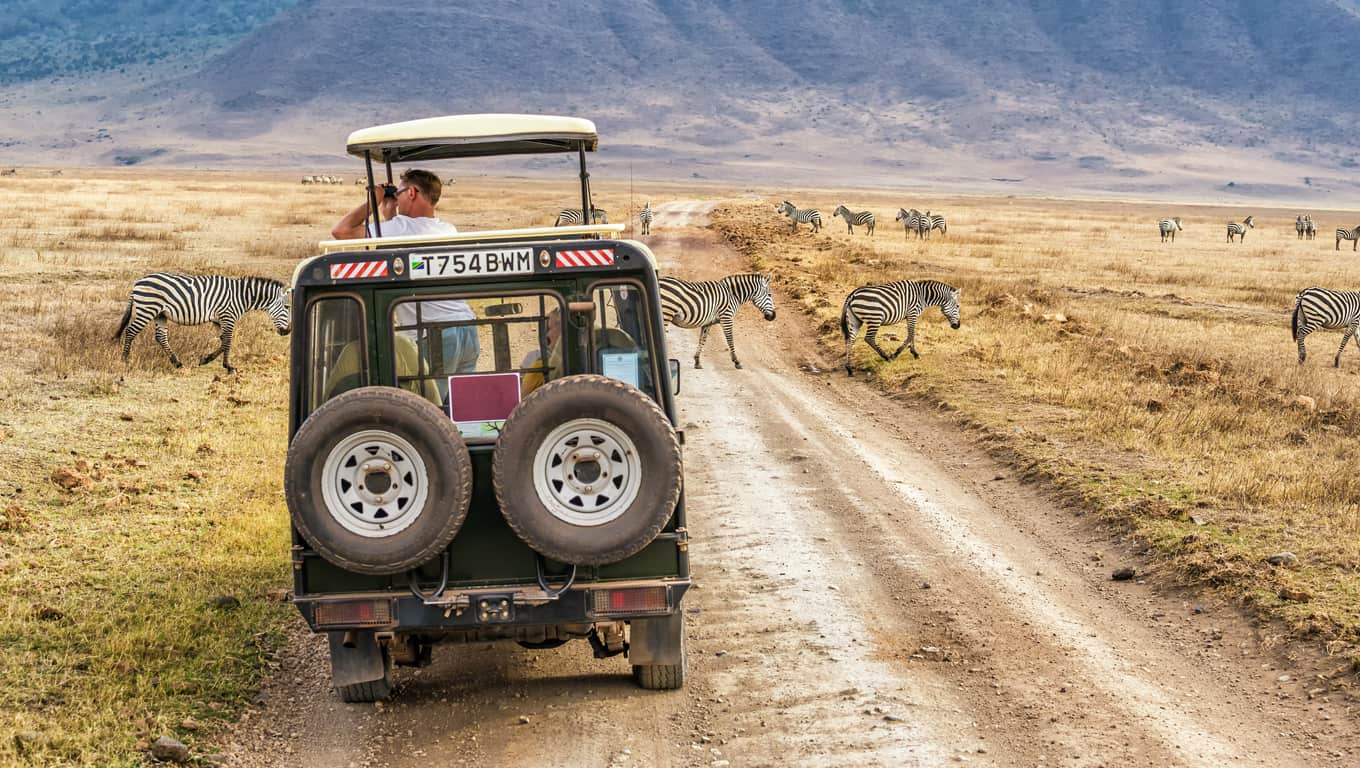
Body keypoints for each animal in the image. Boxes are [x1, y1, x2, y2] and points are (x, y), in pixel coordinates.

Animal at [114, 271, 292, 375]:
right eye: (288, 307)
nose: (288, 331)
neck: (242, 297)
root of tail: (138, 282)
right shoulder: (228, 316)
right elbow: (228, 342)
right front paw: (228, 366)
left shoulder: (218, 320)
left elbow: (223, 342)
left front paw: (207, 360)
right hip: (148, 309)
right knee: (130, 331)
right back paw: (124, 360)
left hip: (160, 314)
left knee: (161, 337)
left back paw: (178, 363)